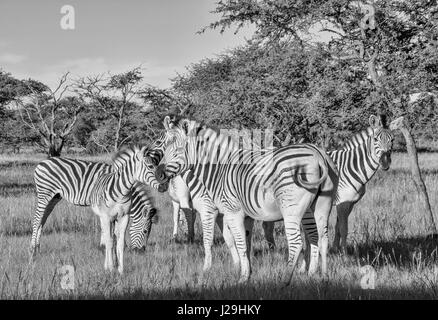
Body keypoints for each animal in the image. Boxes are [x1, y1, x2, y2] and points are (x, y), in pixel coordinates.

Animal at [30, 146, 164, 274]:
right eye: (145, 231)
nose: (141, 252)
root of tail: (43, 162)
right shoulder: (106, 213)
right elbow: (111, 237)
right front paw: (109, 258)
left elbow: (114, 236)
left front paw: (113, 260)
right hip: (45, 193)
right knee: (36, 220)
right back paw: (32, 252)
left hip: (54, 197)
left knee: (42, 220)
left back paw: (37, 249)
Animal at [156, 117, 338, 282]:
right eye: (165, 147)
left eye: (178, 150)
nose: (159, 175)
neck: (219, 169)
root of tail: (318, 155)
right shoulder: (247, 216)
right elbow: (246, 243)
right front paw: (247, 272)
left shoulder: (229, 211)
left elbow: (237, 242)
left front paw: (240, 277)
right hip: (320, 206)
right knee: (321, 238)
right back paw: (322, 275)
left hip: (291, 209)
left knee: (296, 243)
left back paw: (285, 279)